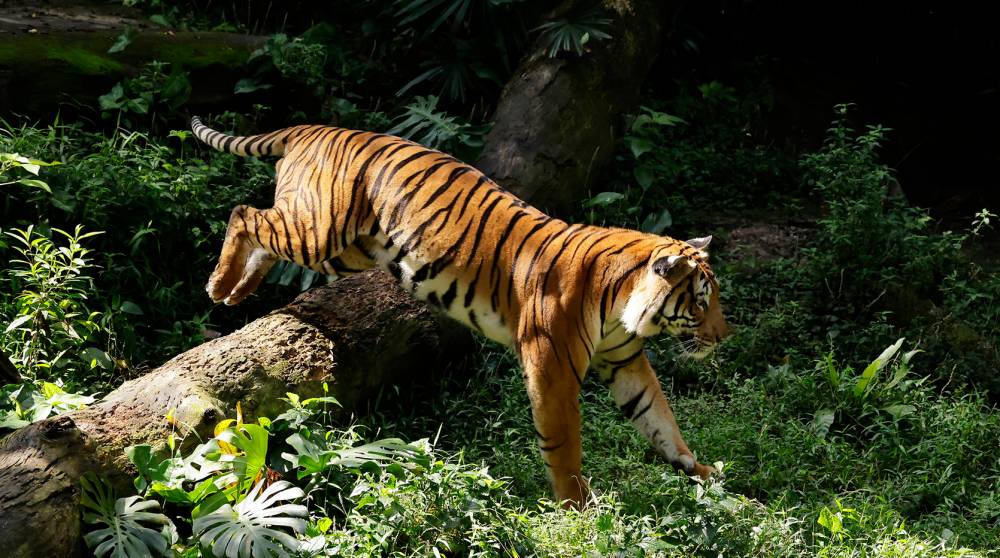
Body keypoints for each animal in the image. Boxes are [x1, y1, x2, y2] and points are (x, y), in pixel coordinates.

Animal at [190, 116, 730, 508]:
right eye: (702, 301)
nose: (723, 336)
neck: (623, 303)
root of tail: (316, 128)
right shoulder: (552, 367)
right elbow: (564, 442)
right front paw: (575, 506)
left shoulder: (624, 359)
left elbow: (660, 418)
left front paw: (700, 472)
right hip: (319, 229)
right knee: (244, 214)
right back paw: (218, 285)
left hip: (344, 250)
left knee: (261, 233)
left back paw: (235, 291)